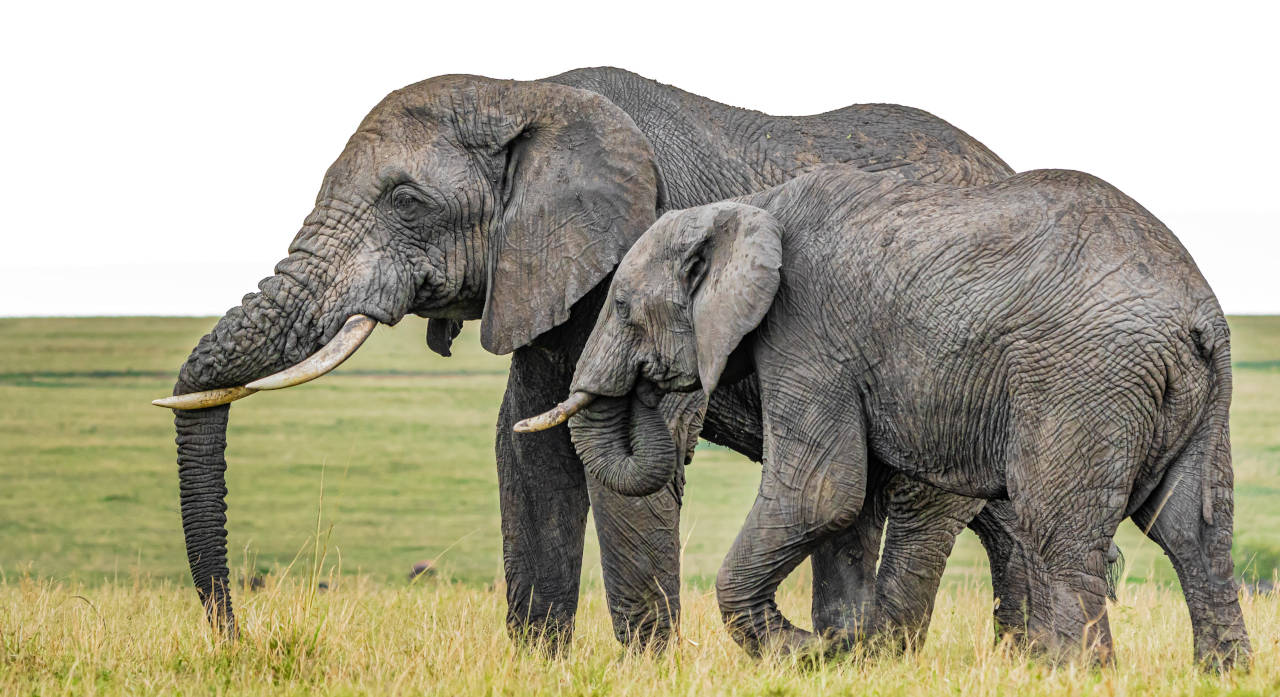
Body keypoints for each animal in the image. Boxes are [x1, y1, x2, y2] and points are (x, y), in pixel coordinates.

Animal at [156, 66, 1056, 650]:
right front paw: (535, 661)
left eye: (406, 201)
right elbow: (527, 450)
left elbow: (625, 455)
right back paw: (1025, 661)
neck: (522, 92)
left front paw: (648, 666)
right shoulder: (540, 279)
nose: (235, 636)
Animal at [523, 166, 1250, 668]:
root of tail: (1202, 314)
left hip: (1083, 379)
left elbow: (822, 490)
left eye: (621, 306)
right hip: (1196, 393)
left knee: (1061, 528)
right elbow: (850, 504)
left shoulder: (806, 328)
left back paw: (1071, 675)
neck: (751, 205)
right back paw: (1222, 673)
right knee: (1193, 528)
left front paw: (807, 652)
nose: (651, 386)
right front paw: (844, 653)